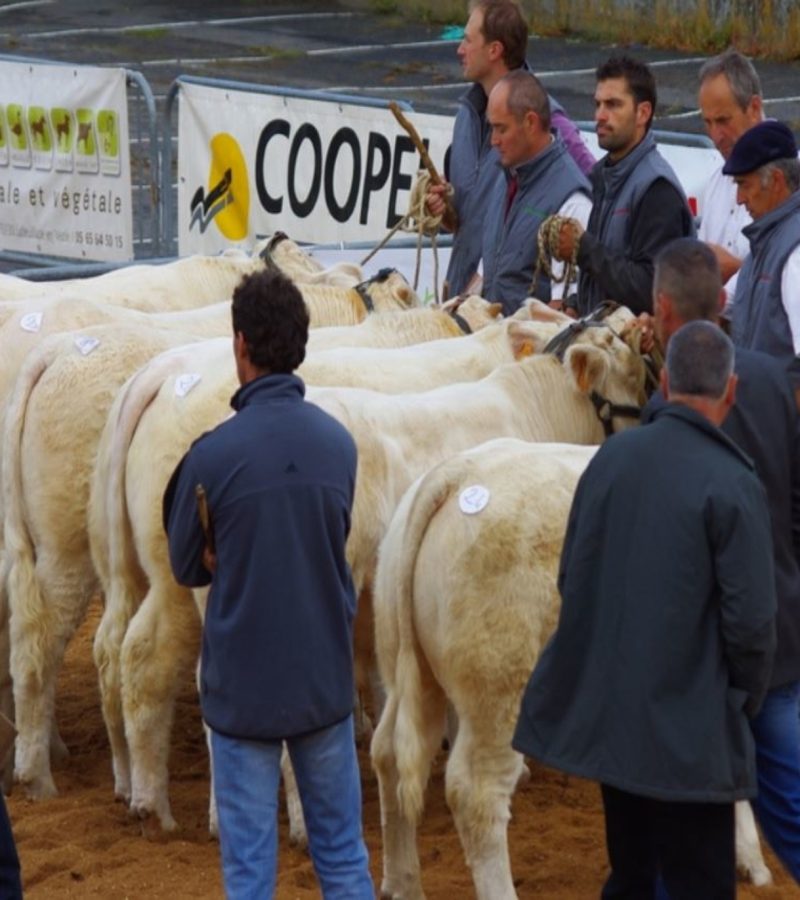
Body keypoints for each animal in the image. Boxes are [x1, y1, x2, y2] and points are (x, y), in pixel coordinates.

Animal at [87, 308, 648, 828]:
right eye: (629, 367)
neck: (532, 410)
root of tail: (158, 375)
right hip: (187, 588)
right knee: (148, 660)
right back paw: (166, 806)